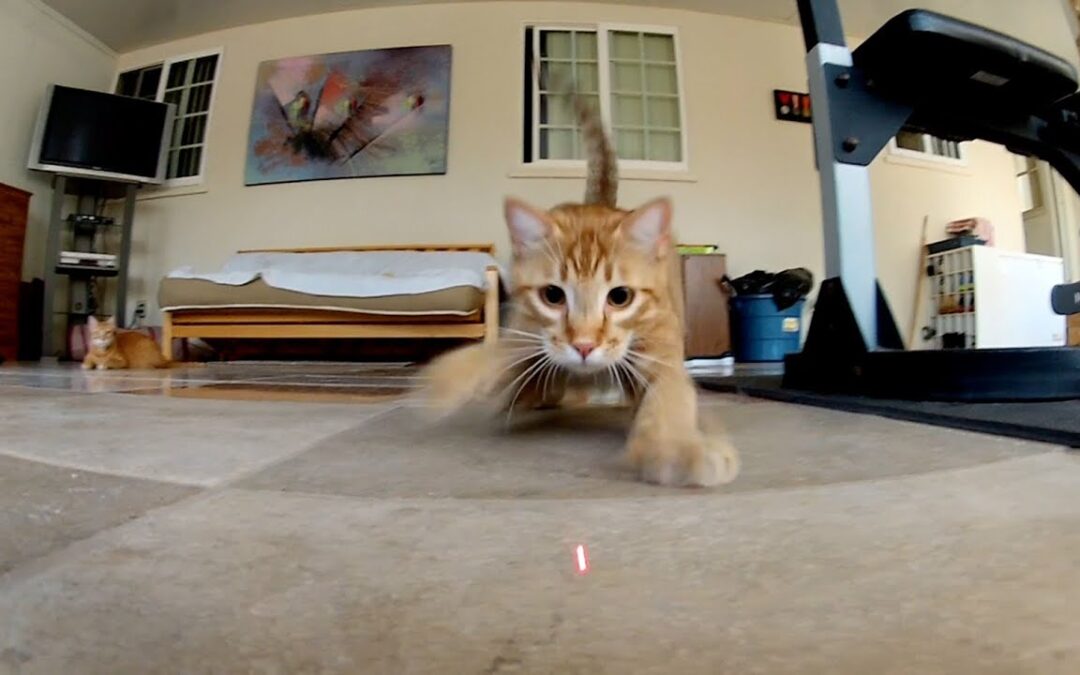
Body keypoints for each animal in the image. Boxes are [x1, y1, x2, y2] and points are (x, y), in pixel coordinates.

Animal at [419, 86, 739, 488]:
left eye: (620, 297)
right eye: (553, 295)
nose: (584, 346)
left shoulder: (661, 348)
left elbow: (669, 396)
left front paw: (677, 447)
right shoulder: (524, 331)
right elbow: (503, 354)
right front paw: (452, 377)